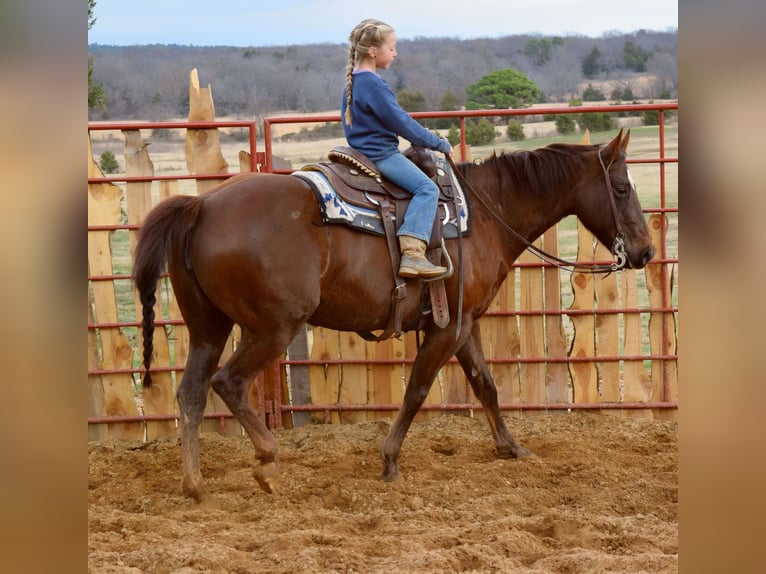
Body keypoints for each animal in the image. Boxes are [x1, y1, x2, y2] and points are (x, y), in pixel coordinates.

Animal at [135, 128, 652, 502]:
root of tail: (201, 205)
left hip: (209, 327)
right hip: (272, 329)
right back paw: (265, 462)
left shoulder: (463, 323)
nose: (645, 251)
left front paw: (510, 447)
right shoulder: (447, 329)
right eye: (621, 187)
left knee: (191, 393)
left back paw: (195, 485)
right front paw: (389, 461)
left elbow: (485, 384)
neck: (484, 214)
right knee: (229, 383)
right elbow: (418, 389)